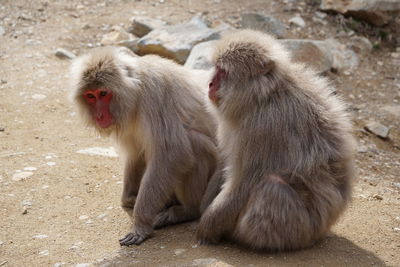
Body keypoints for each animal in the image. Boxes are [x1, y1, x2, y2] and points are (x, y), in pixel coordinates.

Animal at [70, 47, 217, 247]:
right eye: (90, 96)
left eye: (103, 94)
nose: (99, 116)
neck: (135, 93)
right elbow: (136, 153)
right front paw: (129, 198)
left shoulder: (154, 97)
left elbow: (172, 154)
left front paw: (140, 224)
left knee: (195, 143)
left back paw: (187, 210)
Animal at [195, 30, 354, 252]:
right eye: (216, 69)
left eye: (223, 72)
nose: (210, 84)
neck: (263, 97)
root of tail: (323, 229)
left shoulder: (263, 127)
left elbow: (245, 181)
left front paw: (207, 227)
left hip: (303, 230)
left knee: (273, 186)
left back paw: (244, 239)